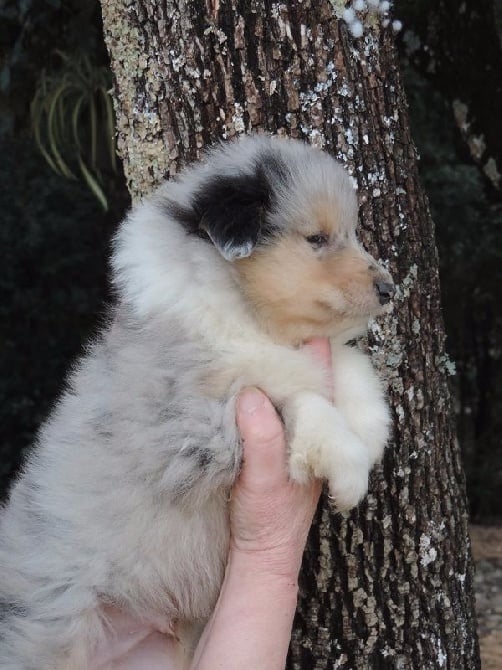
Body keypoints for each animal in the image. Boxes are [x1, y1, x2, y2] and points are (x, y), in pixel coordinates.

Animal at [0, 134, 392, 668]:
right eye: (316, 238)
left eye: (351, 233)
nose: (389, 289)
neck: (243, 313)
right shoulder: (189, 425)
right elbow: (288, 386)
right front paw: (348, 467)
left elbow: (336, 363)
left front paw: (370, 424)